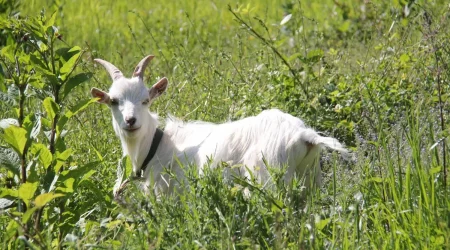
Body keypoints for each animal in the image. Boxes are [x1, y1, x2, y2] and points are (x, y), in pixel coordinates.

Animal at [89, 54, 346, 195]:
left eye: (145, 100)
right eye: (113, 101)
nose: (130, 121)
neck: (156, 145)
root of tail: (303, 134)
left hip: (267, 176)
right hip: (310, 180)